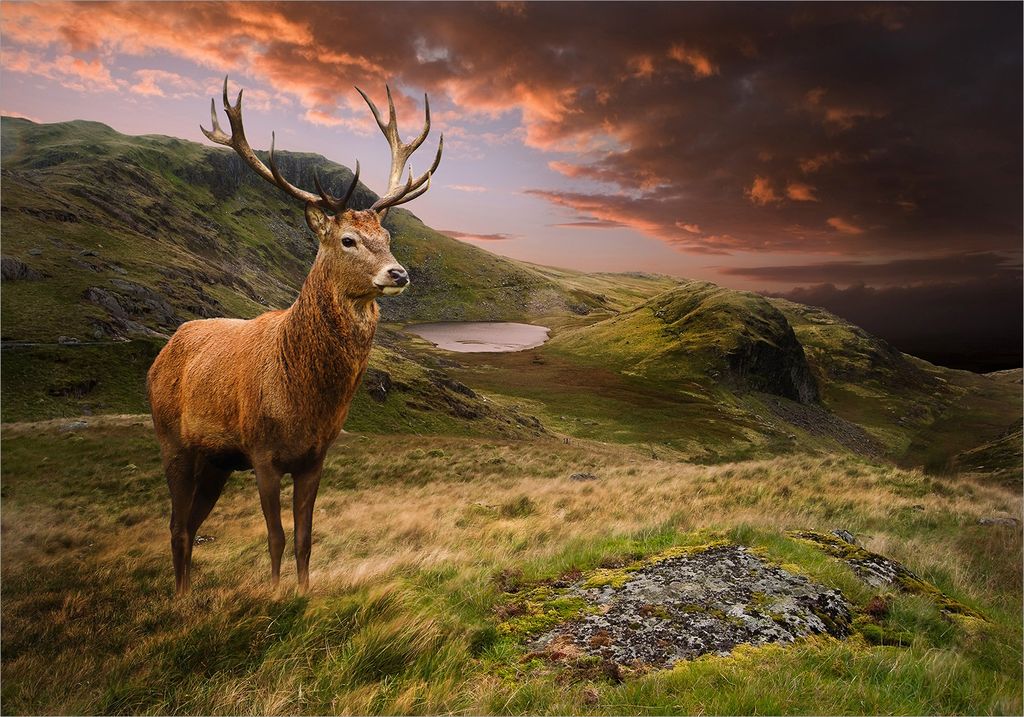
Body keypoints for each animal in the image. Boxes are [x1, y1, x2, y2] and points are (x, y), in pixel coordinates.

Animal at [147, 77, 442, 595]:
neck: (302, 398)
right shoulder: (262, 451)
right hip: (173, 442)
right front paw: (274, 594)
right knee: (177, 525)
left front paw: (304, 594)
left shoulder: (315, 456)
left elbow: (306, 536)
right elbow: (277, 536)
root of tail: (161, 354)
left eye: (386, 236)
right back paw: (179, 601)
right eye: (347, 239)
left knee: (191, 523)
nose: (399, 273)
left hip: (215, 463)